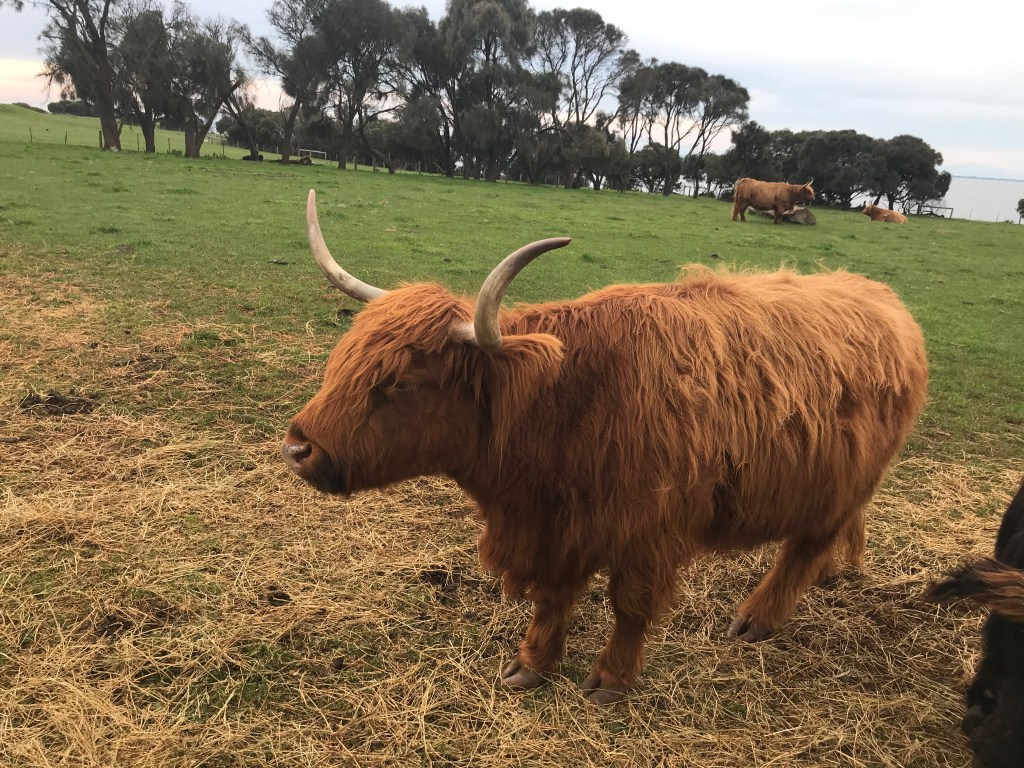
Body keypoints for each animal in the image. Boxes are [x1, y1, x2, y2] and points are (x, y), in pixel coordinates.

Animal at [283, 189, 928, 704]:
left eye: (402, 382)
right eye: (345, 359)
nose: (299, 447)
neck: (571, 400)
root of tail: (882, 298)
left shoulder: (651, 529)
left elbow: (630, 605)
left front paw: (611, 681)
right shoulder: (558, 525)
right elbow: (553, 598)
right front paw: (531, 665)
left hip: (845, 481)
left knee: (805, 545)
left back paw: (756, 618)